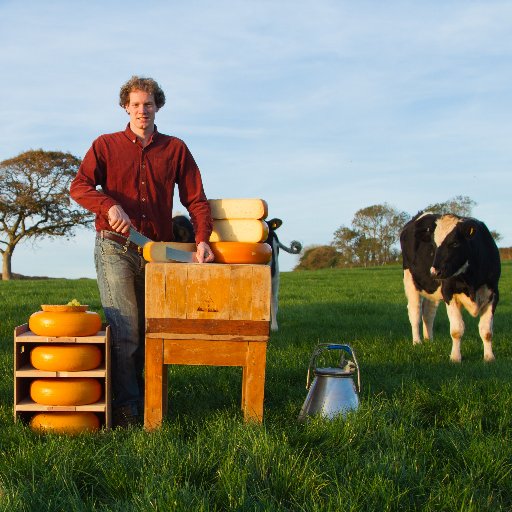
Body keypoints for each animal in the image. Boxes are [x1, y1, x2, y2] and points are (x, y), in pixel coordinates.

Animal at [400, 212, 500, 364]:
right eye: (434, 245)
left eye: (454, 243)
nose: (434, 272)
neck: (471, 279)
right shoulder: (448, 293)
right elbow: (456, 330)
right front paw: (455, 357)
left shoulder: (493, 293)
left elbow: (486, 331)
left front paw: (489, 357)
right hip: (410, 281)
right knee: (415, 313)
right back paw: (417, 342)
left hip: (433, 290)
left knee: (428, 314)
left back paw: (429, 341)